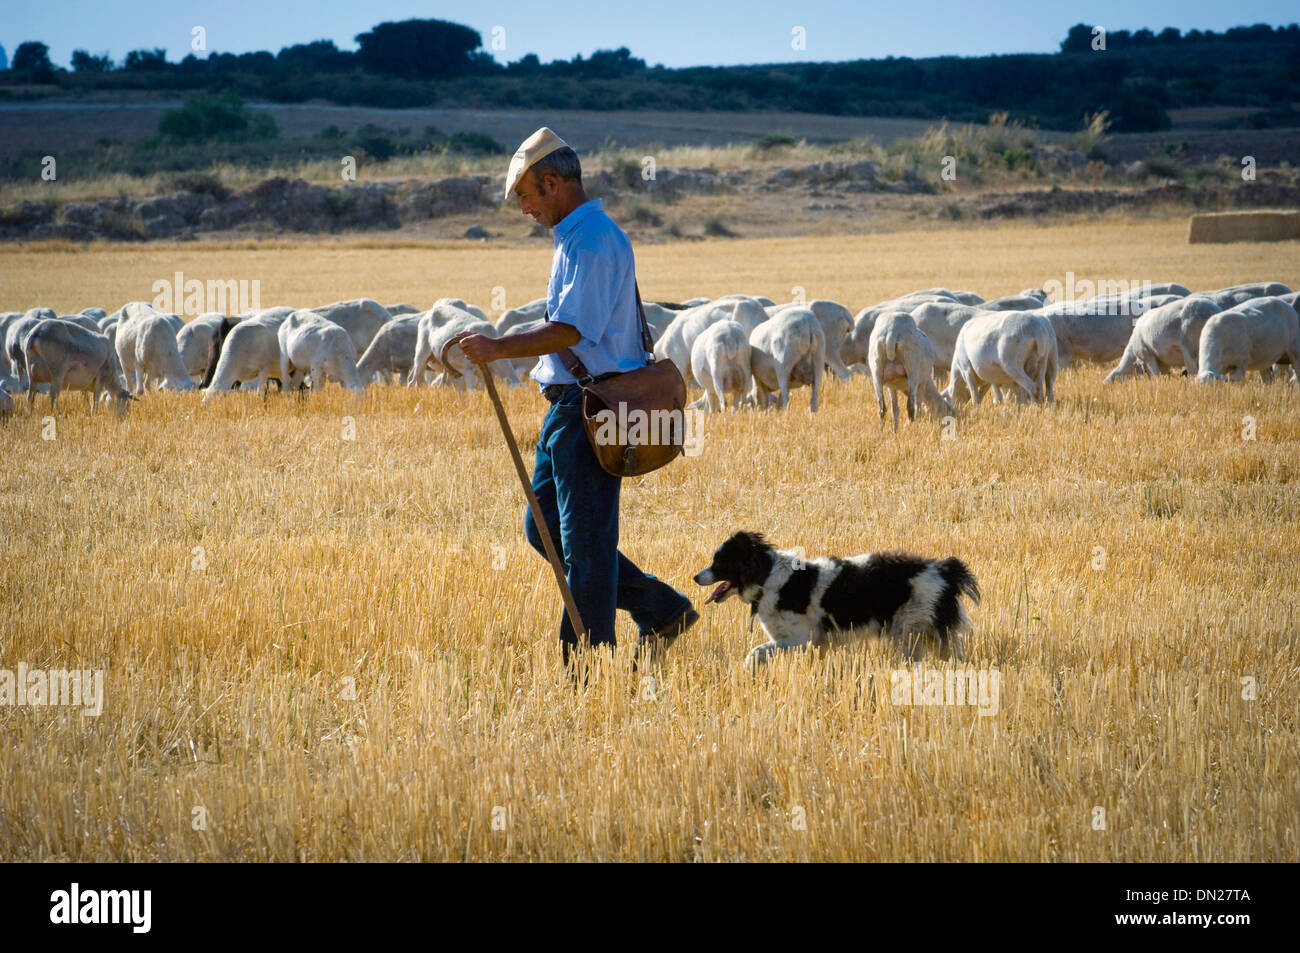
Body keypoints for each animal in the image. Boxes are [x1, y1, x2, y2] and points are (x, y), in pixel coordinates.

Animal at [696, 530, 977, 665]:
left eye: (719, 562)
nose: (695, 577)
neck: (766, 578)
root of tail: (944, 569)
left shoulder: (800, 639)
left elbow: (755, 652)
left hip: (911, 629)